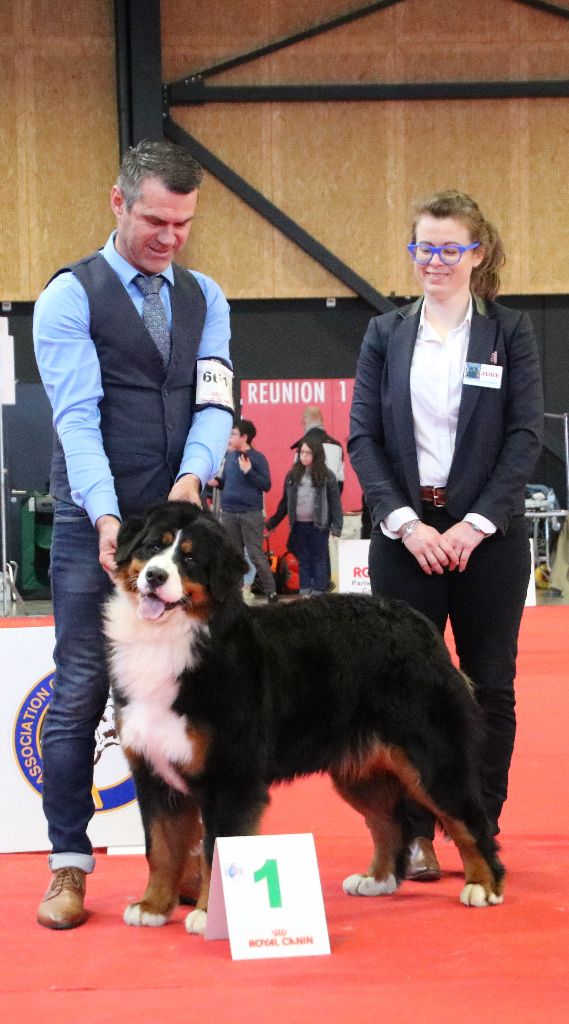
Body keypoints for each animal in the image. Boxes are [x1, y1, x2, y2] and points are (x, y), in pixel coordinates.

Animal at [104, 499, 505, 933]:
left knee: (469, 819)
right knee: (388, 822)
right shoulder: (154, 770)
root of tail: (420, 624)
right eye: (151, 548)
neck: (175, 640)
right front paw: (152, 907)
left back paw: (483, 885)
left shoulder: (229, 778)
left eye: (190, 559)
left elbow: (214, 851)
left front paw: (208, 916)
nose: (155, 576)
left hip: (432, 756)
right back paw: (377, 879)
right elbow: (160, 848)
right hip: (359, 769)